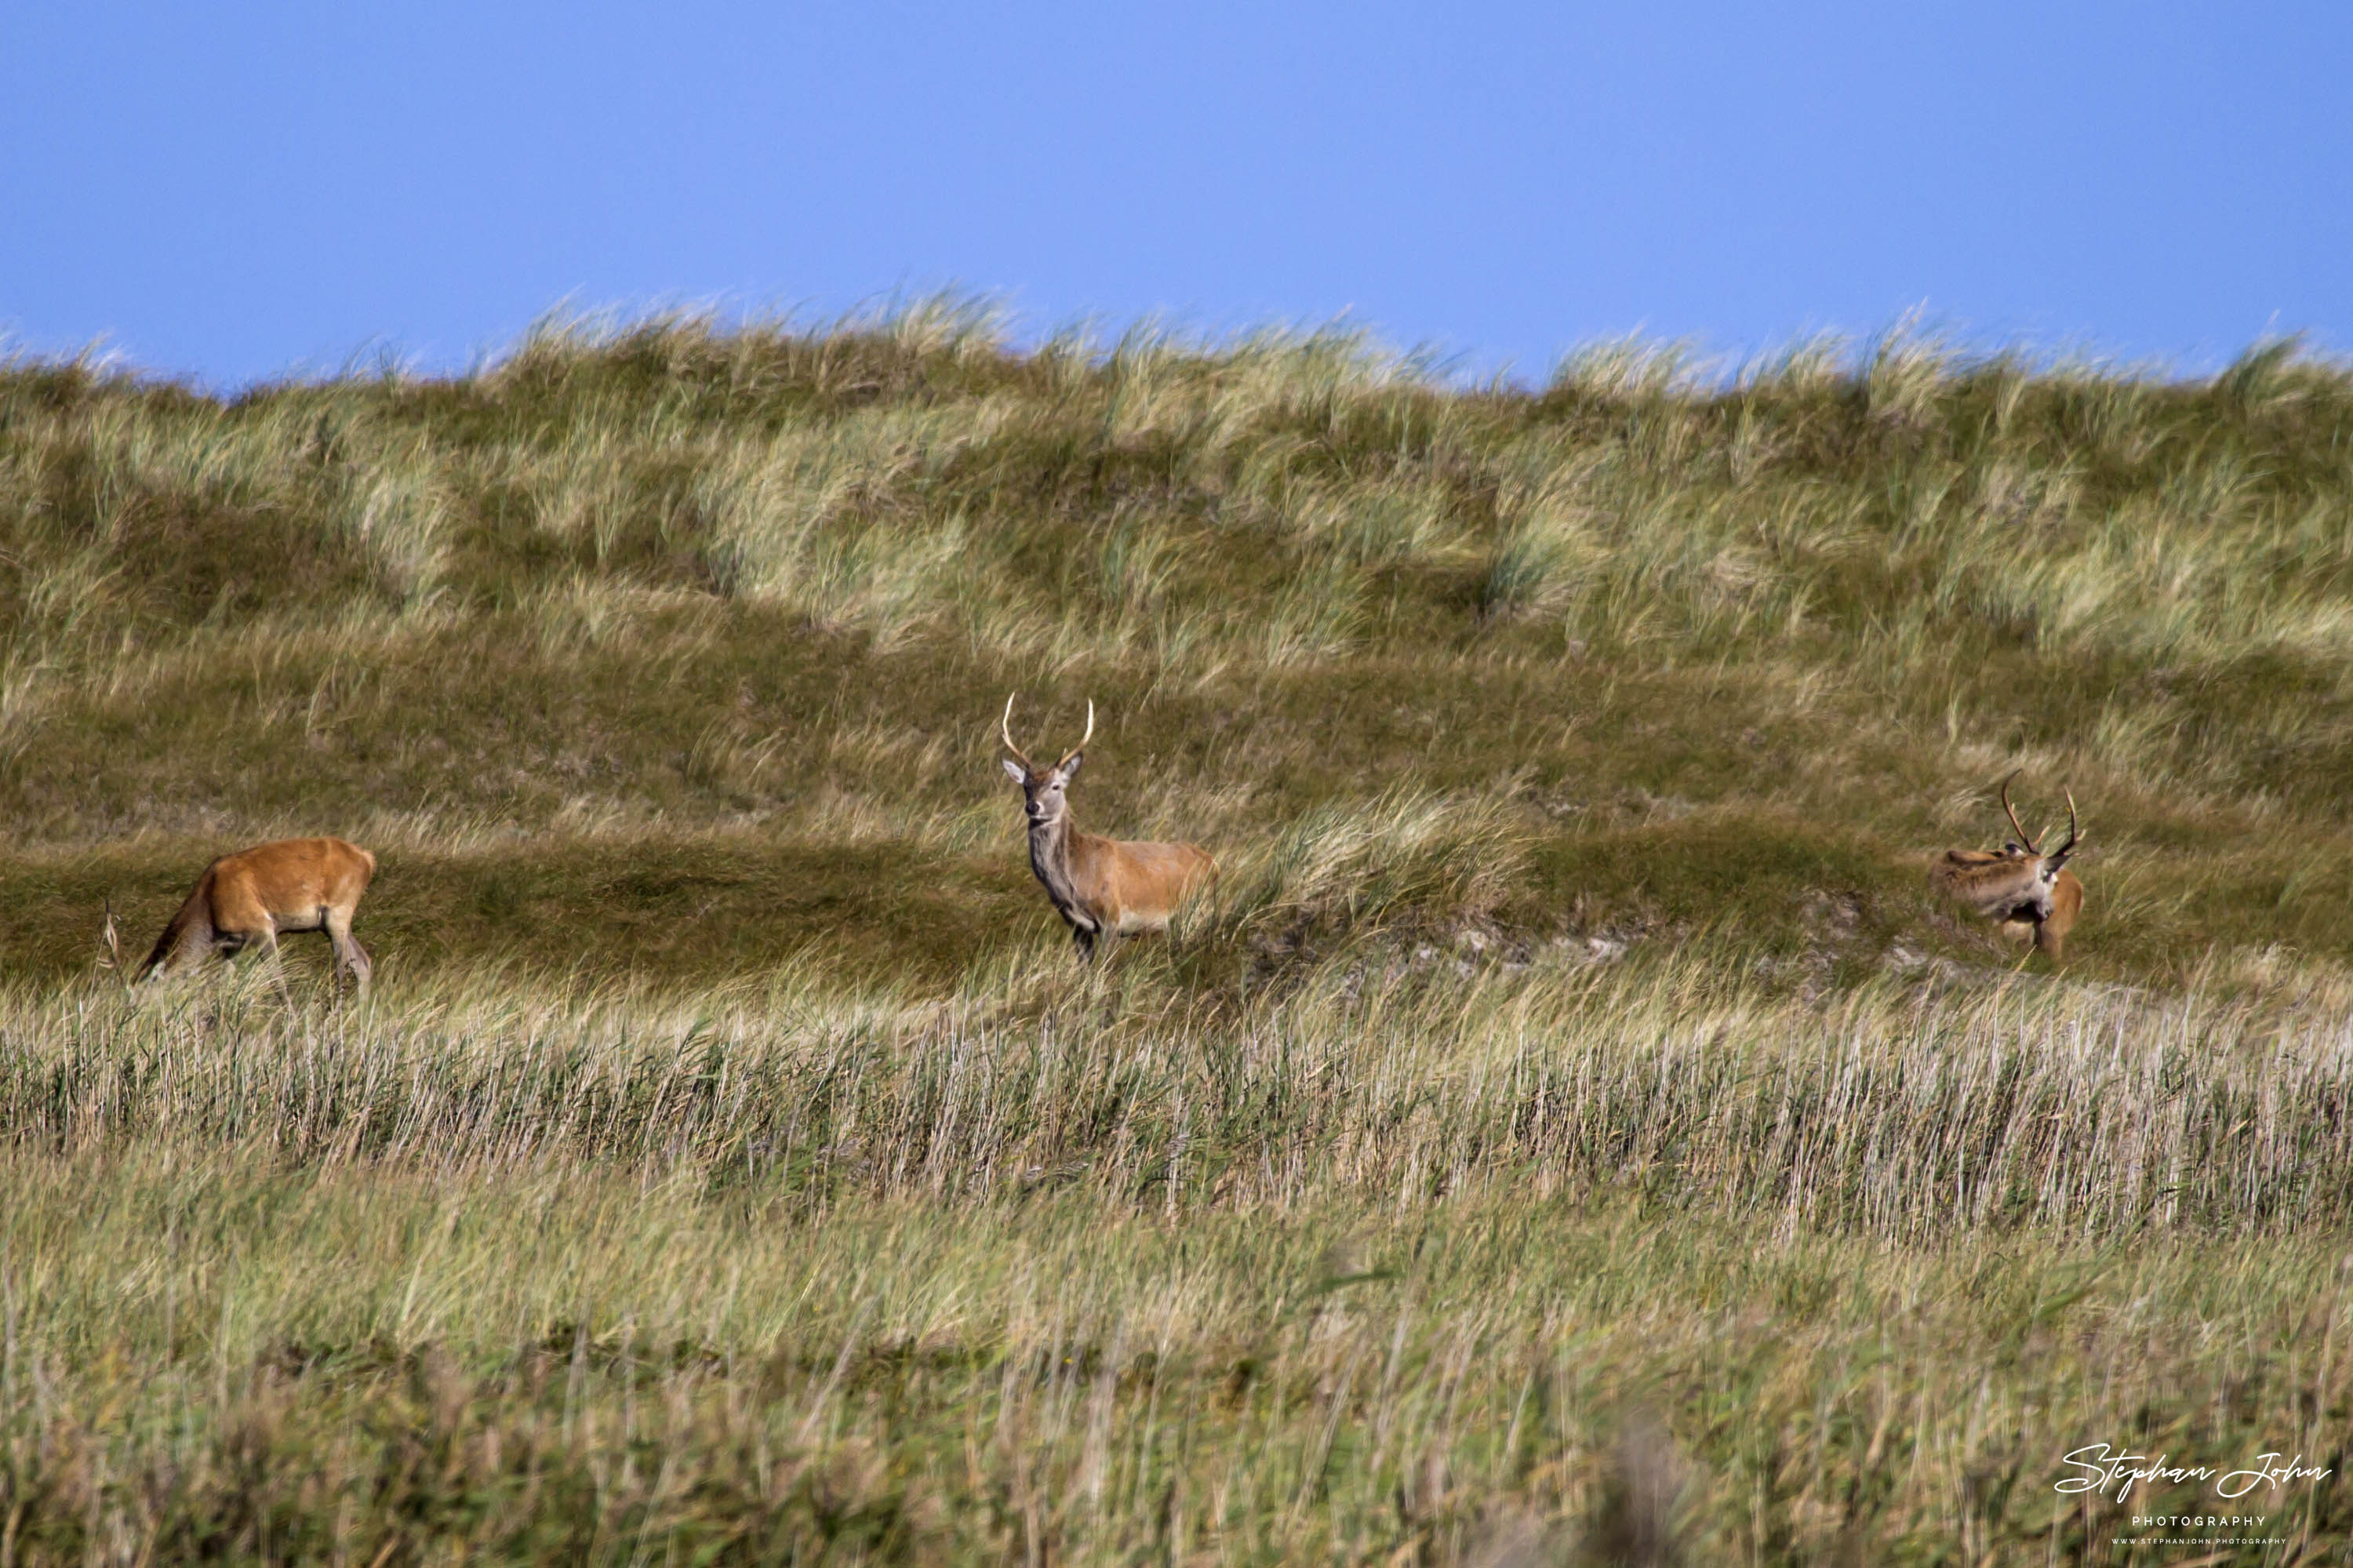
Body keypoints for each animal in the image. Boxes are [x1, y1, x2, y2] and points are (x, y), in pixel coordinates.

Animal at [133, 838, 376, 993]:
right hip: (330, 924)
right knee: (362, 962)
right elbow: (224, 983)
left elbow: (278, 981)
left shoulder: (263, 930)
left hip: (338, 913)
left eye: (140, 998)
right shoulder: (232, 946)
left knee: (342, 966)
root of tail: (368, 858)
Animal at [998, 692, 1224, 960]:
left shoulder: (1112, 917)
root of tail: (1214, 863)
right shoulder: (1077, 925)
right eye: (1026, 786)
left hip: (1198, 910)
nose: (1033, 807)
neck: (1076, 879)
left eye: (1056, 786)